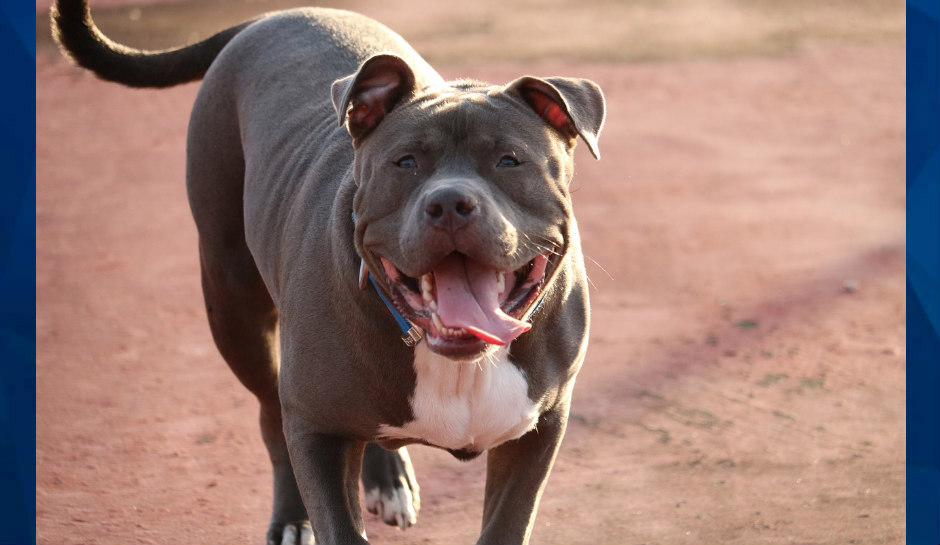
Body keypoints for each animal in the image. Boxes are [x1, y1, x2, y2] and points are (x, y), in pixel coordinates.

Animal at [55, 2, 604, 540]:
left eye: (510, 160)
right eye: (404, 162)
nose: (449, 202)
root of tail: (270, 17)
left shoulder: (539, 430)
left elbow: (506, 523)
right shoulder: (317, 430)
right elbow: (336, 519)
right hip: (233, 306)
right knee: (271, 414)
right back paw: (293, 517)